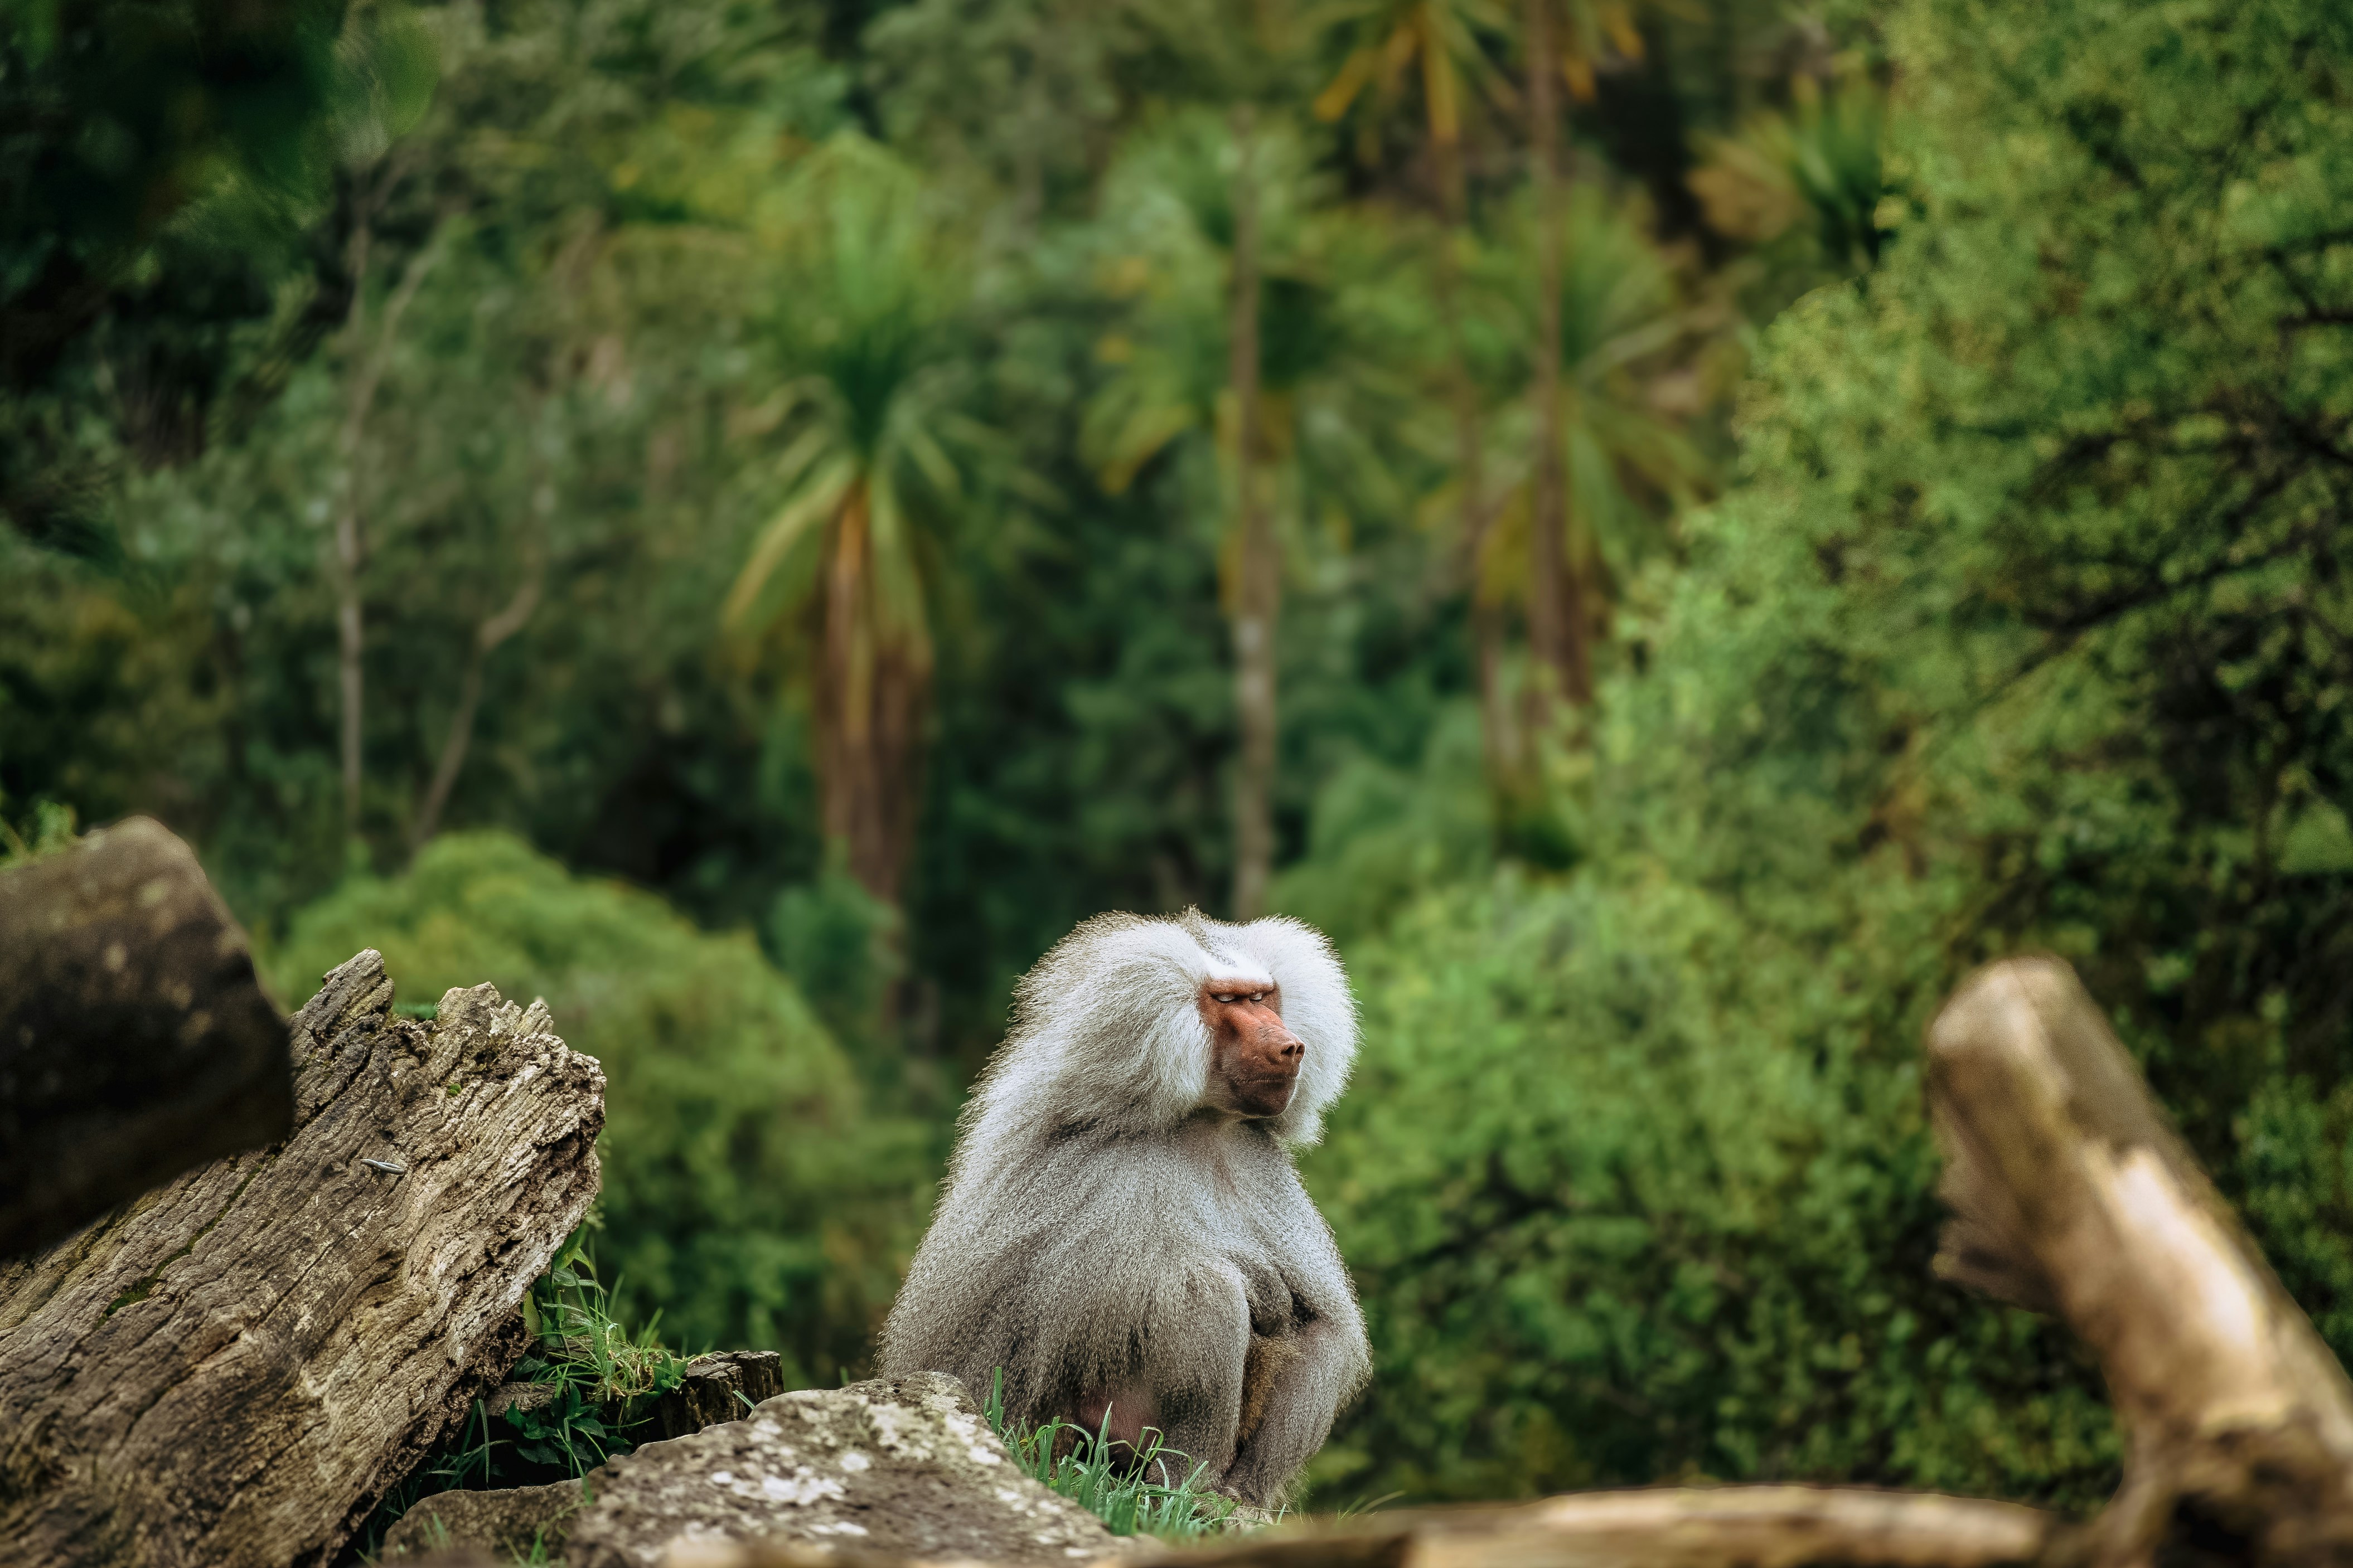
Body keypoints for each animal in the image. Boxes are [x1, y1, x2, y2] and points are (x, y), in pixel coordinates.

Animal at [878, 908, 1372, 1508]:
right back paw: (1184, 1485)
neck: (1206, 1123)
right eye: (1226, 1000)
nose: (1290, 1046)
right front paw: (1255, 1277)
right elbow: (1079, 1290)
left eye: (1263, 996)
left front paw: (1247, 1496)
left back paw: (1223, 1496)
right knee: (1202, 1292)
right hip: (1057, 1434)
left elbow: (1326, 1322)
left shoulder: (1261, 1170)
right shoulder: (1102, 1167)